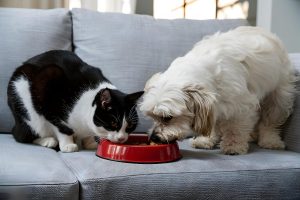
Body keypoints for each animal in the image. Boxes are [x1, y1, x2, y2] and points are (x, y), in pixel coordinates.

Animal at [6, 50, 143, 152]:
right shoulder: (48, 96)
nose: (121, 139)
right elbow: (61, 127)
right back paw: (48, 140)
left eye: (130, 125)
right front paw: (68, 145)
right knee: (22, 135)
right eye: (113, 123)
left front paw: (90, 142)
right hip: (26, 107)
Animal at [139, 26, 296, 155]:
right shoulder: (213, 105)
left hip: (279, 98)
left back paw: (270, 141)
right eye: (152, 116)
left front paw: (233, 146)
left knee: (270, 122)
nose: (153, 137)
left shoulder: (242, 106)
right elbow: (213, 125)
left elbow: (235, 128)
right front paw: (205, 140)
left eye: (168, 117)